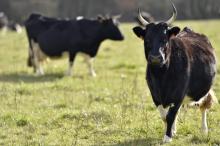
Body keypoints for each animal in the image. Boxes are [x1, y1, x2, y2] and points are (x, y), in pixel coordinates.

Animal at [132, 1, 217, 143]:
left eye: (164, 39)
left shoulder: (178, 94)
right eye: (147, 40)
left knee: (204, 105)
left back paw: (204, 129)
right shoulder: (155, 95)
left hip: (205, 88)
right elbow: (164, 116)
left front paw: (167, 137)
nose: (156, 58)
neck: (161, 76)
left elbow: (170, 115)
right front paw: (171, 131)